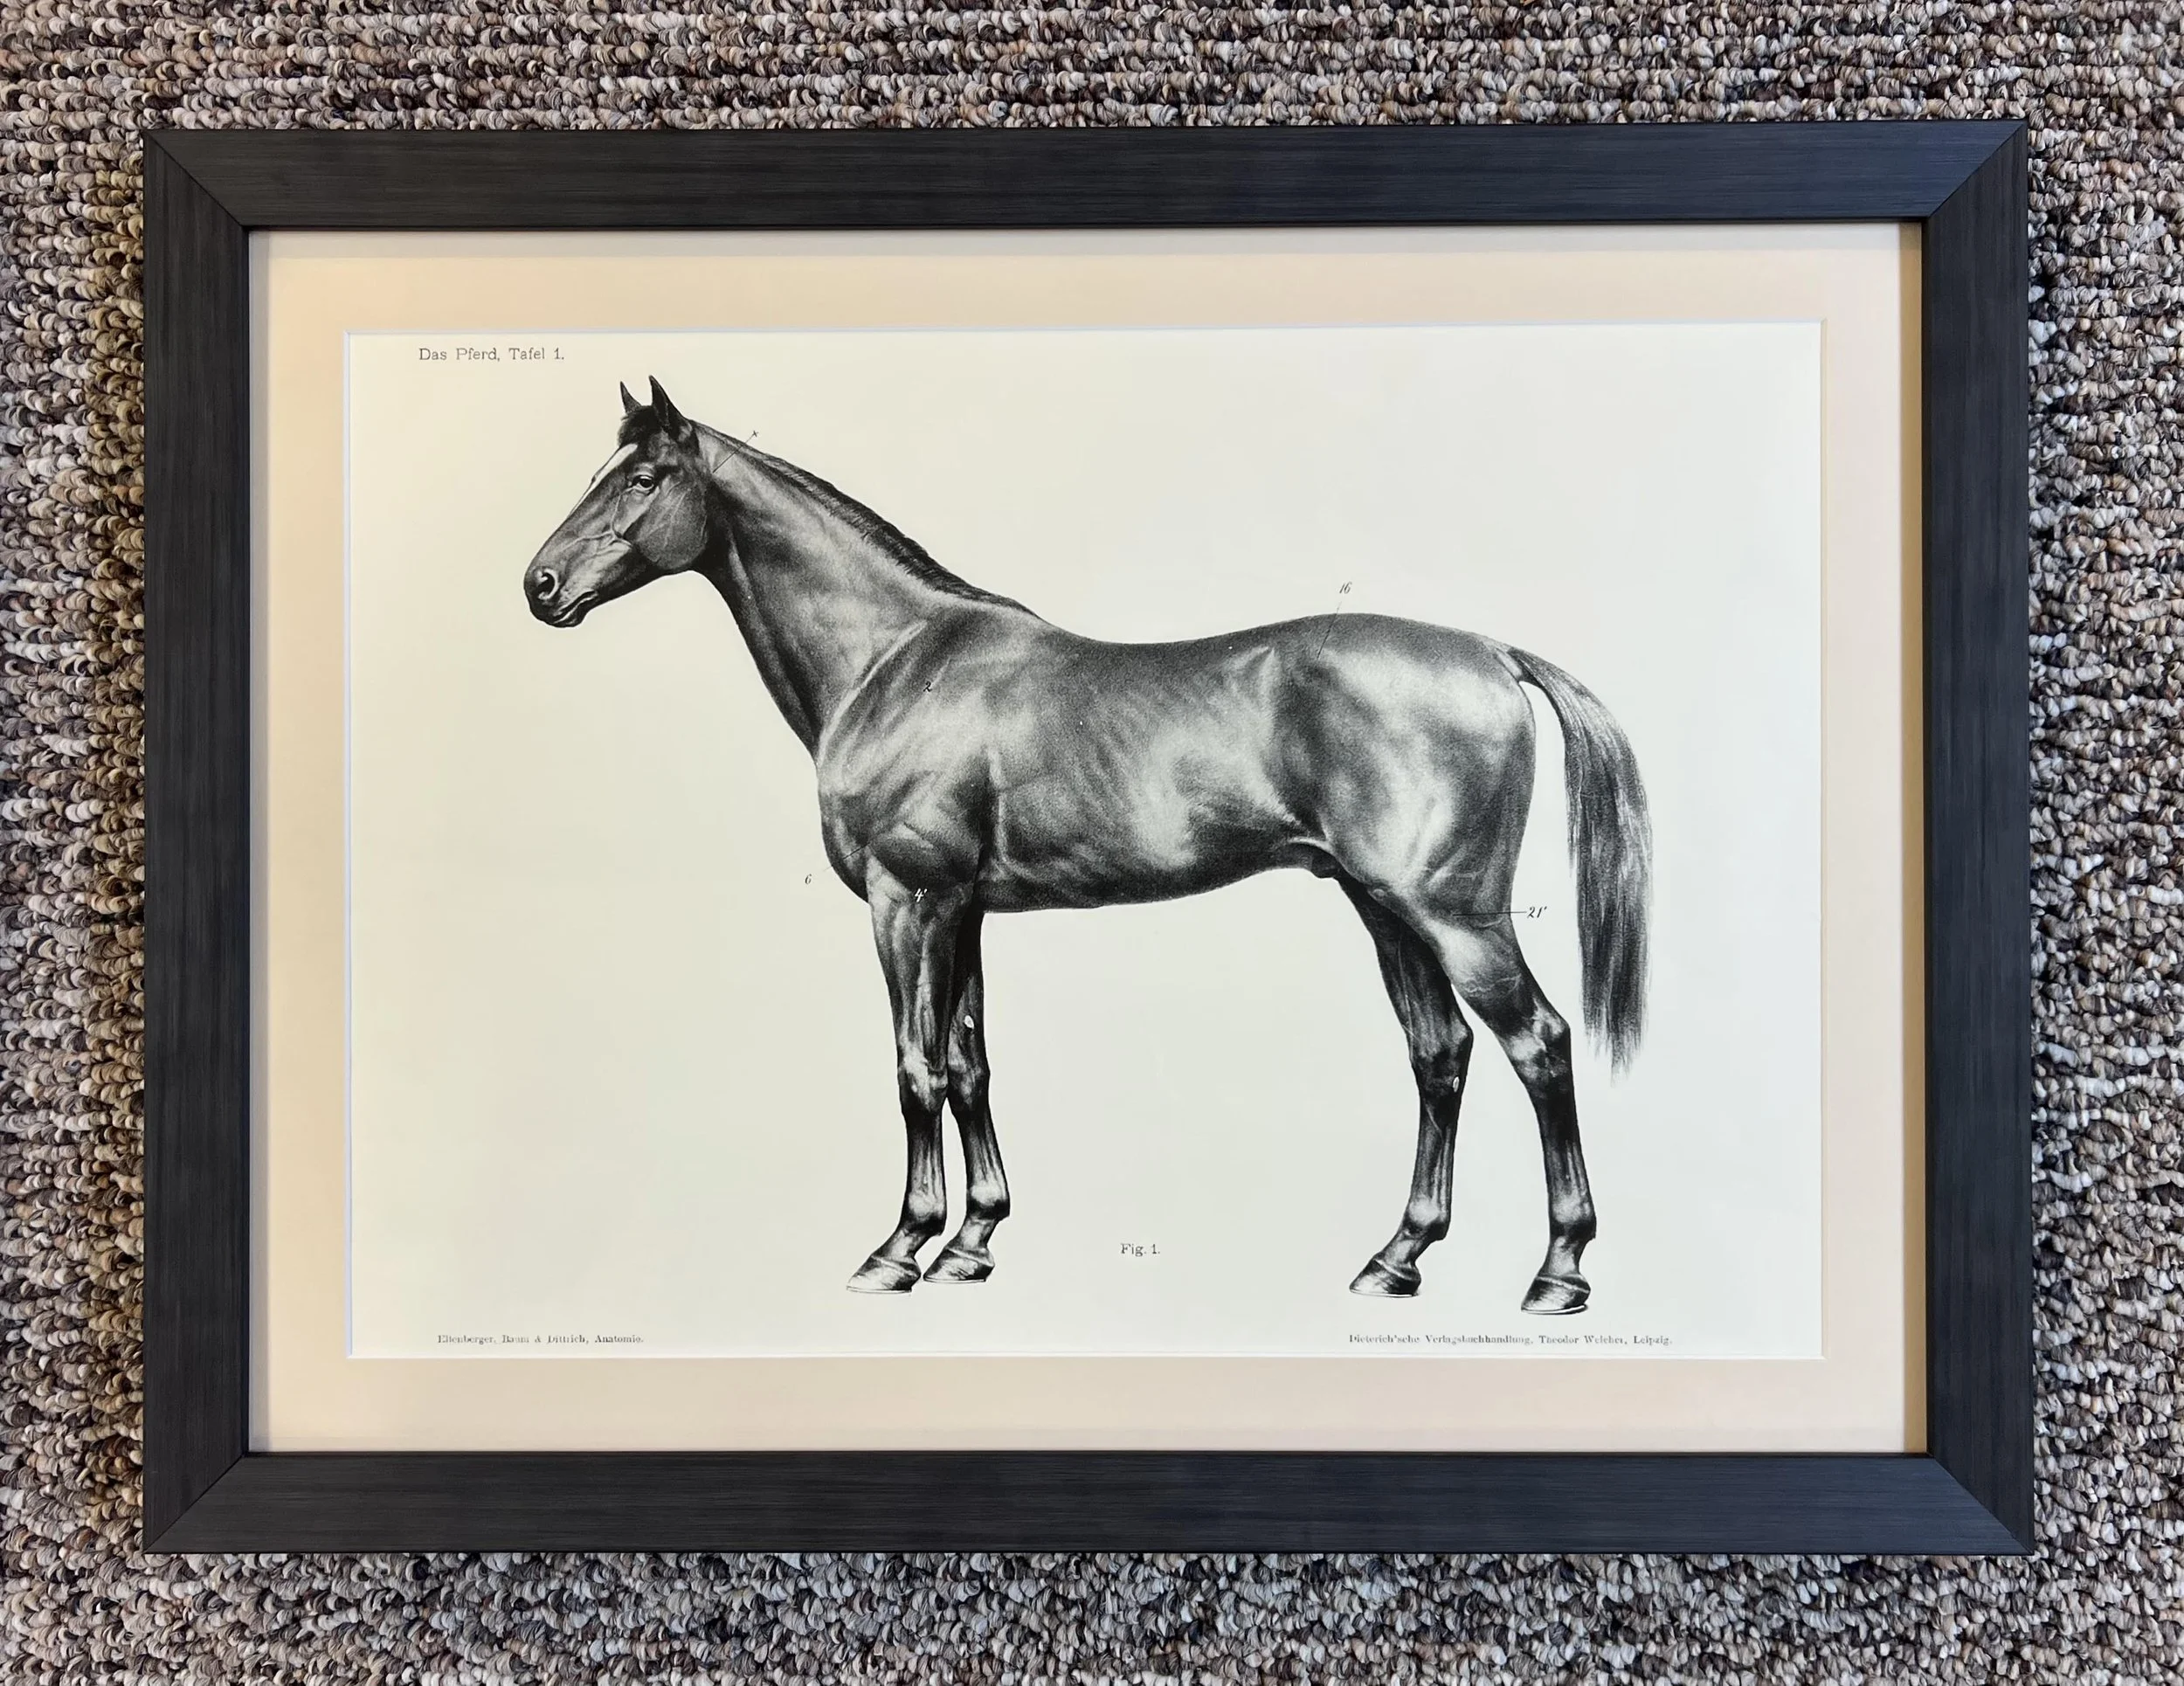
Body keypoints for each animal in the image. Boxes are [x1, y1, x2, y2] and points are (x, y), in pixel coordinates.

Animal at [523, 378, 1652, 1313]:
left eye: (643, 477)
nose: (539, 584)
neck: (896, 662)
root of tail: (1491, 655)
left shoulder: (906, 902)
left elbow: (913, 1069)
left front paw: (900, 1249)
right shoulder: (964, 911)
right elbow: (969, 1063)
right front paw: (972, 1243)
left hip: (1454, 916)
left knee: (1537, 1044)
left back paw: (1558, 1273)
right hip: (1382, 909)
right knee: (1440, 1055)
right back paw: (1395, 1259)